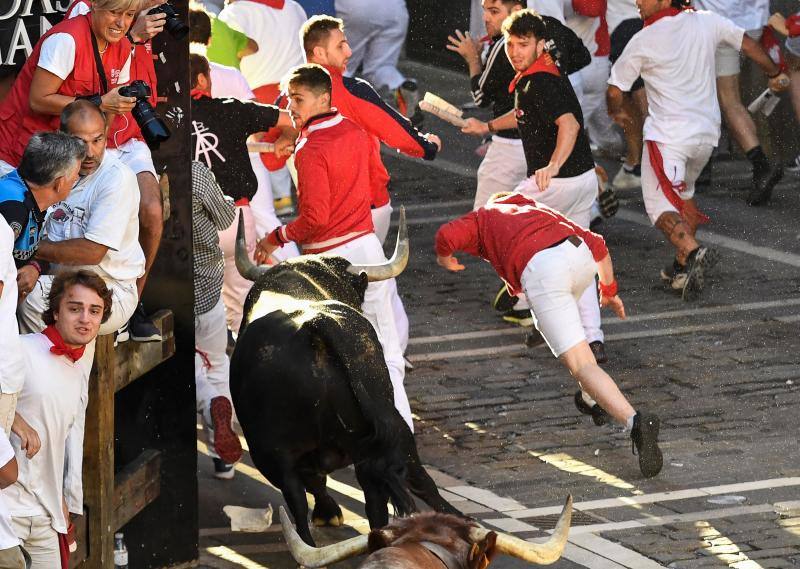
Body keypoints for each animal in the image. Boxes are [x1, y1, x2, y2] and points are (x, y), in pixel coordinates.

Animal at [228, 209, 460, 540]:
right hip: (379, 435)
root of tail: (315, 325)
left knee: (299, 502)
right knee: (395, 490)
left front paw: (327, 513)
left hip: (274, 454)